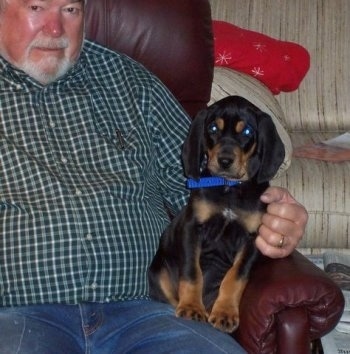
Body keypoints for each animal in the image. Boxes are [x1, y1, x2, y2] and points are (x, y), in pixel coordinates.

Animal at [147, 95, 284, 334]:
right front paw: (191, 307)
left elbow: (235, 277)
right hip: (159, 272)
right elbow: (192, 273)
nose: (225, 161)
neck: (228, 188)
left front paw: (225, 312)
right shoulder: (192, 228)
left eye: (247, 131)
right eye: (212, 128)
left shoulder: (252, 239)